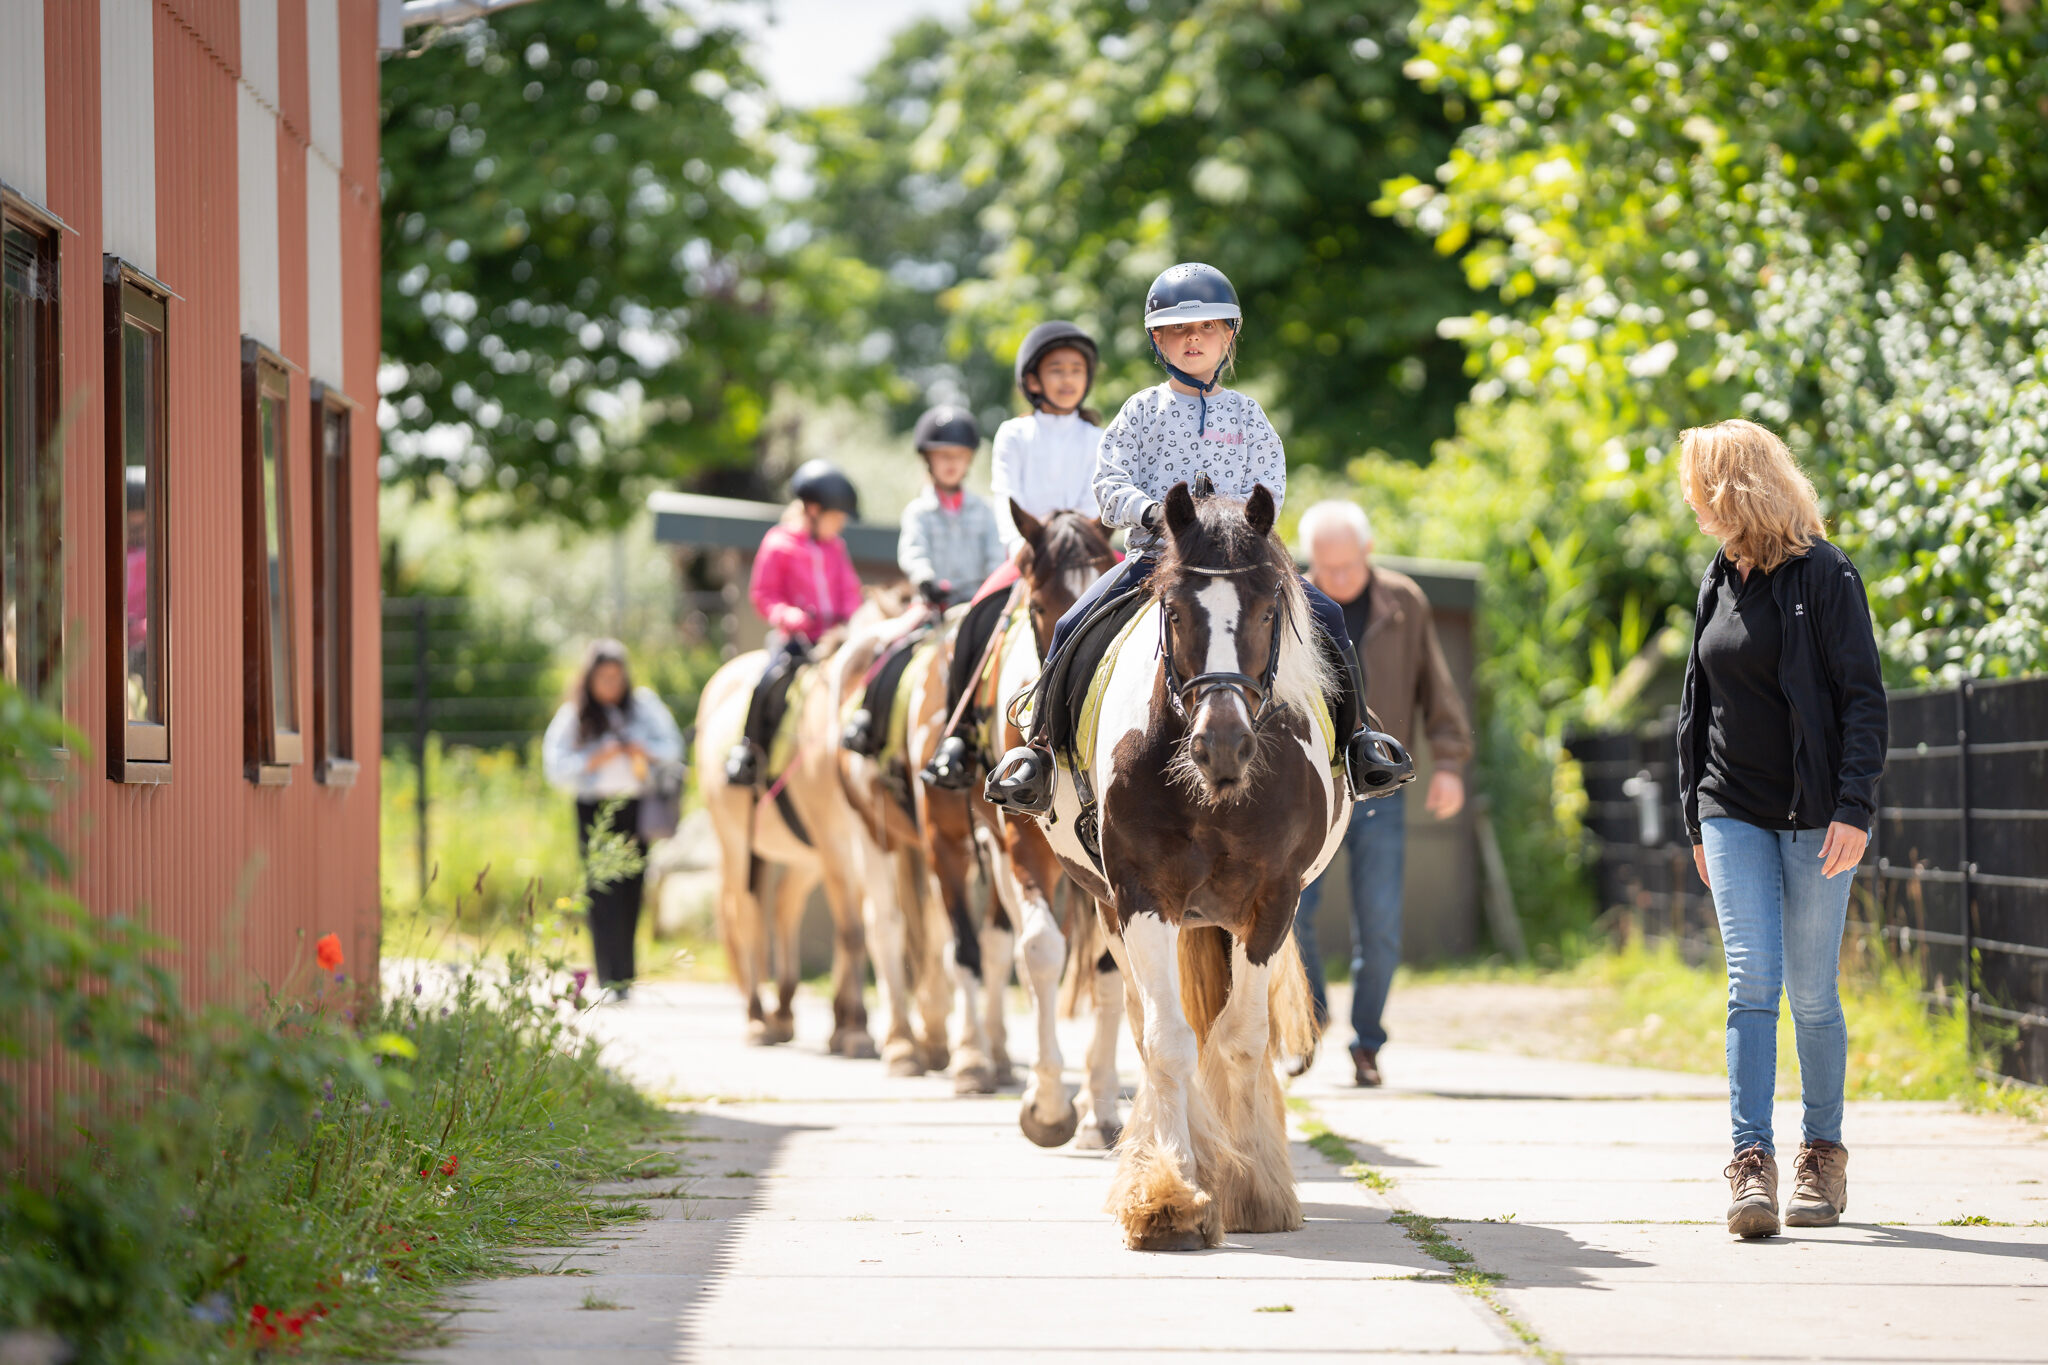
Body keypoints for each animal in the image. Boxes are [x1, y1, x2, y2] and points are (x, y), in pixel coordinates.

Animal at [913, 507, 1130, 1137]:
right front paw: (1050, 1103)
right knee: (971, 947)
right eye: (1037, 607)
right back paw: (973, 1061)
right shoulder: (1021, 842)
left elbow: (1109, 967)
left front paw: (1099, 1107)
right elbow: (1039, 949)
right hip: (948, 841)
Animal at [1040, 482, 1343, 1252]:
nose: (1223, 743)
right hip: (1117, 909)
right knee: (1147, 1024)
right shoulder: (1143, 896)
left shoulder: (1272, 903)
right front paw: (1170, 1193)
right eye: (1175, 612)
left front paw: (1254, 1189)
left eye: (1267, 610)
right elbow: (1170, 1042)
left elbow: (1240, 1040)